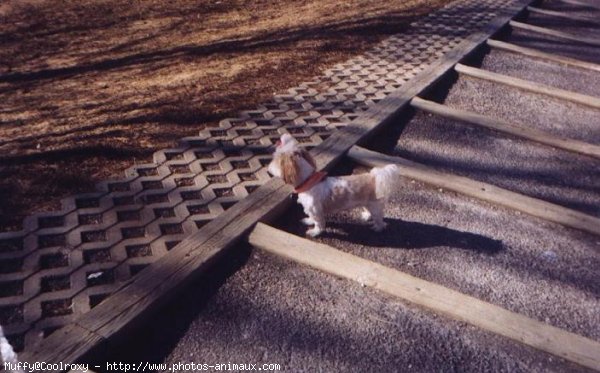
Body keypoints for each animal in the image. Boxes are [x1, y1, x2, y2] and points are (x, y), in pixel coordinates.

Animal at [268, 134, 398, 235]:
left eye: (275, 160)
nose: (268, 170)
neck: (309, 181)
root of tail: (374, 176)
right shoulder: (311, 210)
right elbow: (312, 218)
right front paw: (309, 221)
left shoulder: (316, 211)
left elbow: (319, 223)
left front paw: (315, 232)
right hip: (367, 203)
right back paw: (366, 215)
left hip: (375, 206)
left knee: (380, 220)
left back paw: (377, 228)